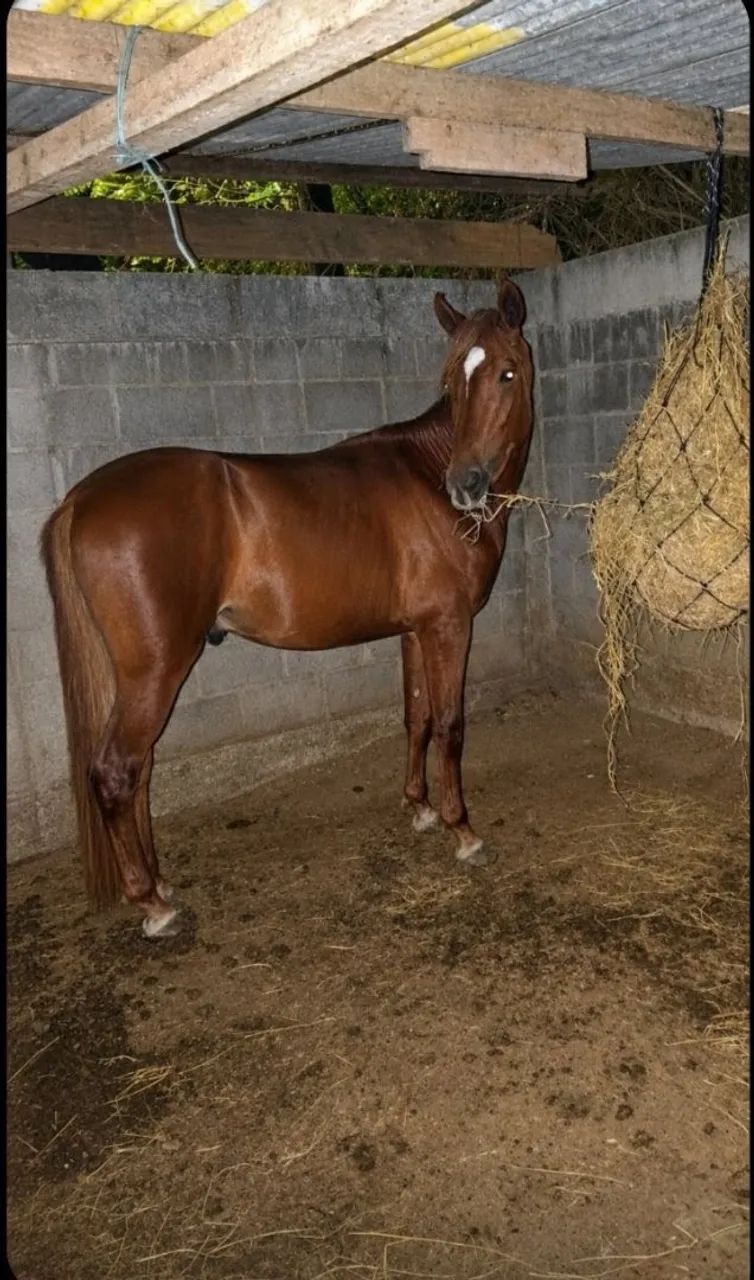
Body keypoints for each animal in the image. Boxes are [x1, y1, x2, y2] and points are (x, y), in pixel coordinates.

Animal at [41, 278, 534, 939]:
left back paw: (161, 881)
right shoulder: (450, 627)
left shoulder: (415, 631)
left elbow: (418, 718)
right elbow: (452, 725)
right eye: (452, 381)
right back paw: (153, 904)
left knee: (140, 771)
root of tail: (80, 497)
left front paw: (421, 808)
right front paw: (463, 831)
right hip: (157, 669)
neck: (426, 473)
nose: (467, 484)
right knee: (118, 772)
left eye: (507, 372)